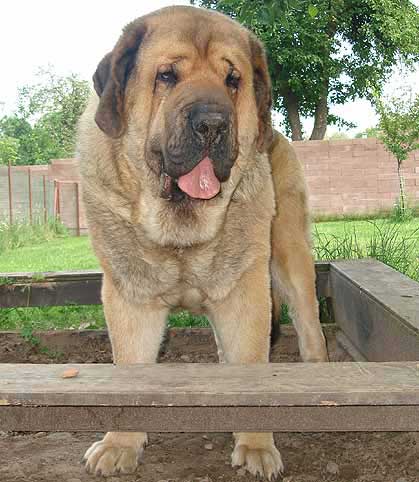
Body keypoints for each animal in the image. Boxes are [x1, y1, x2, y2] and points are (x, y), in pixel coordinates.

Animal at [77, 4, 330, 482]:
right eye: (166, 76)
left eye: (233, 79)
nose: (212, 123)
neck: (180, 227)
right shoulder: (129, 294)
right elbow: (129, 368)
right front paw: (120, 445)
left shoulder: (245, 290)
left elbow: (249, 364)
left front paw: (256, 446)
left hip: (291, 257)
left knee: (311, 329)